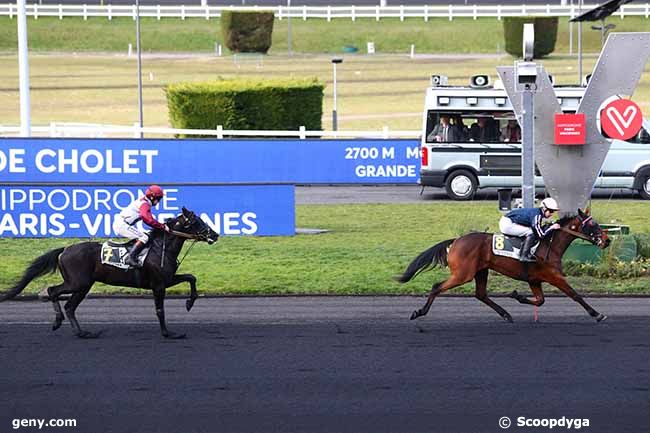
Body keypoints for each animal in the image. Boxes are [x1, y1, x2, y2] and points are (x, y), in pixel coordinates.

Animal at [0, 208, 218, 340]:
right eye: (197, 221)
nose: (215, 235)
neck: (159, 248)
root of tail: (65, 249)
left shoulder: (167, 279)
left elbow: (191, 278)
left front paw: (189, 303)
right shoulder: (158, 285)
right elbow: (159, 310)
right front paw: (168, 333)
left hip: (83, 286)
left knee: (70, 306)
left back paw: (82, 332)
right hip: (78, 283)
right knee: (54, 292)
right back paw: (57, 321)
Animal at [398, 208, 612, 322]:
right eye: (591, 224)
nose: (607, 240)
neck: (549, 244)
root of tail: (456, 240)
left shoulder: (534, 279)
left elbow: (540, 301)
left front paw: (516, 295)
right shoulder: (554, 276)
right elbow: (575, 295)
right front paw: (597, 314)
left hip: (481, 271)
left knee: (481, 294)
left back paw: (506, 314)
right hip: (463, 274)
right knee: (437, 287)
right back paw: (419, 312)